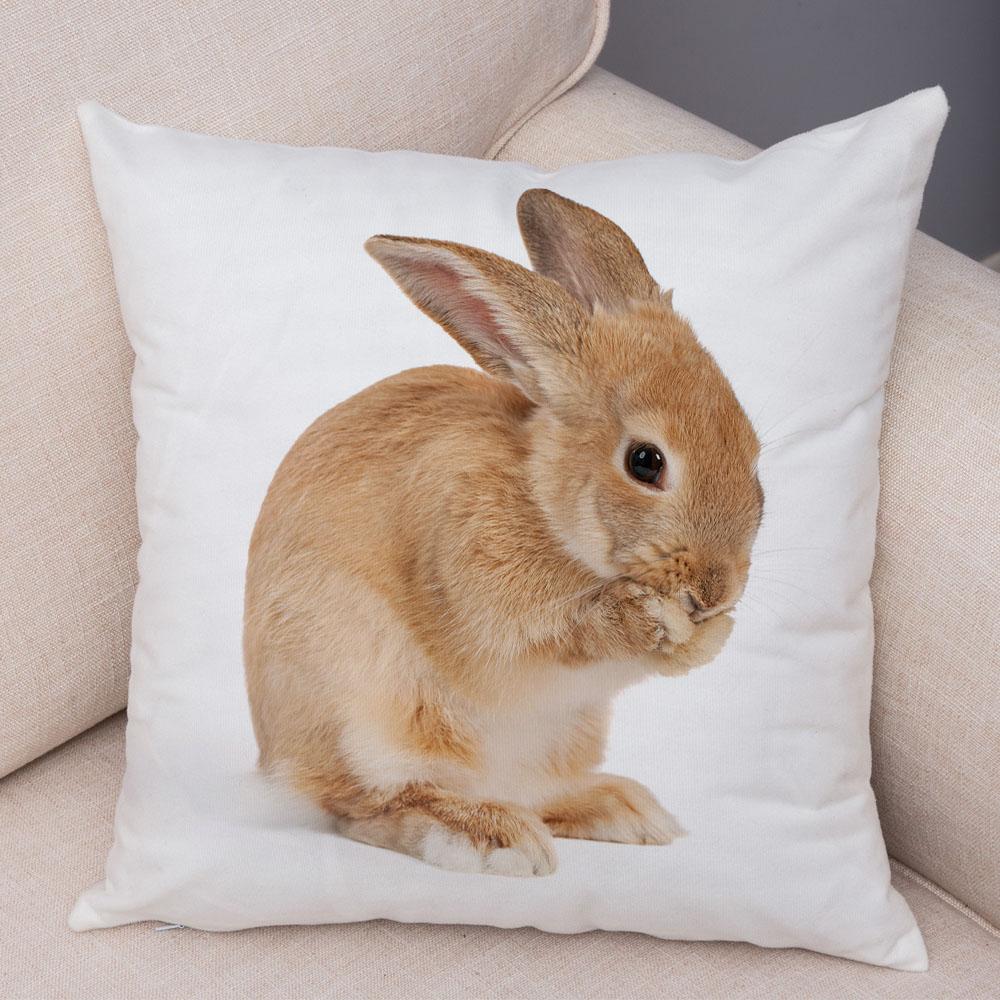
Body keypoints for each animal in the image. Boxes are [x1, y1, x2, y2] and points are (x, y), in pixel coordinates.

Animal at [243, 188, 763, 878]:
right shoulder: (483, 598)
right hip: (370, 712)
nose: (715, 590)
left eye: (752, 450)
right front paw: (648, 620)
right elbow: (556, 634)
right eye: (645, 462)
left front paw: (707, 637)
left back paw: (622, 810)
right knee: (366, 807)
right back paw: (491, 835)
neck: (545, 502)